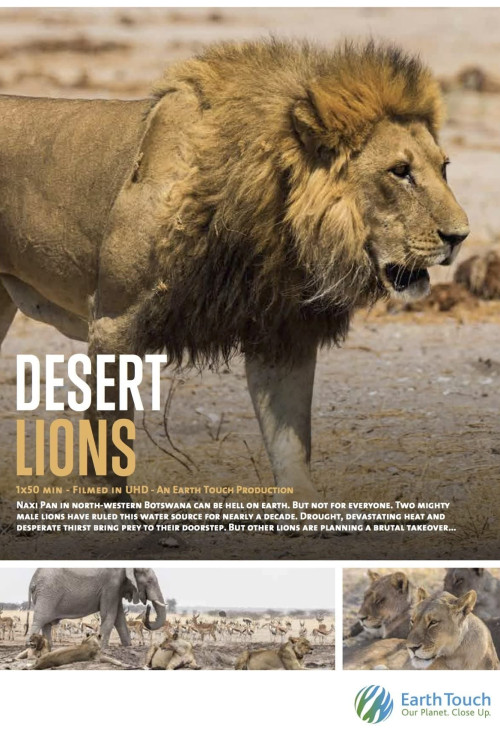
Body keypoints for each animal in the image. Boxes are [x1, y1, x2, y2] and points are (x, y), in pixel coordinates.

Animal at [0, 40, 468, 503]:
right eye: (400, 171)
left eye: (444, 167)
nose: (460, 236)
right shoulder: (114, 322)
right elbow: (108, 448)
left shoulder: (282, 332)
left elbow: (290, 446)